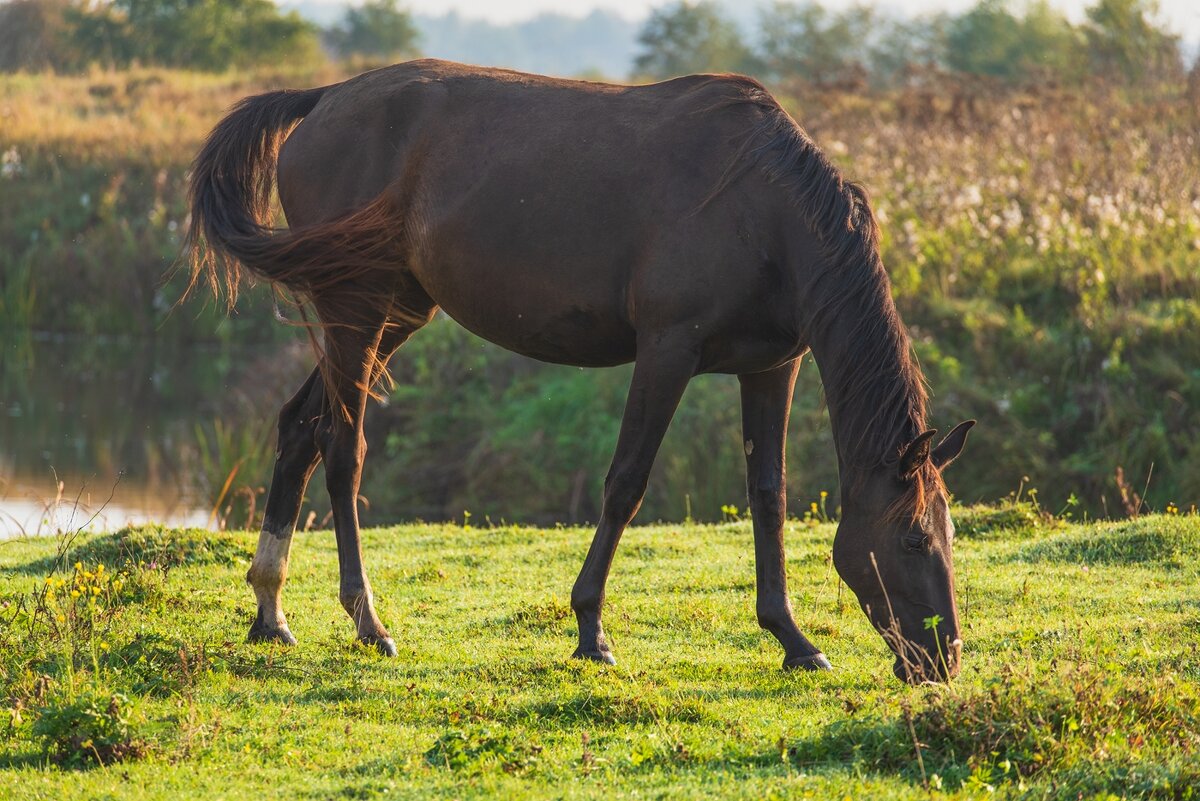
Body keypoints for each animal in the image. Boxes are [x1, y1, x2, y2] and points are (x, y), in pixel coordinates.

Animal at [184, 57, 974, 681]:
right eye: (913, 538)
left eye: (949, 533)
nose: (943, 660)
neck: (763, 208)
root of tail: (325, 98)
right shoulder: (667, 350)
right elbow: (625, 483)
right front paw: (591, 630)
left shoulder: (772, 367)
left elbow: (768, 496)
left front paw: (793, 638)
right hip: (356, 307)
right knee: (342, 447)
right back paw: (368, 620)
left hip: (397, 313)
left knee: (299, 428)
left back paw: (270, 611)